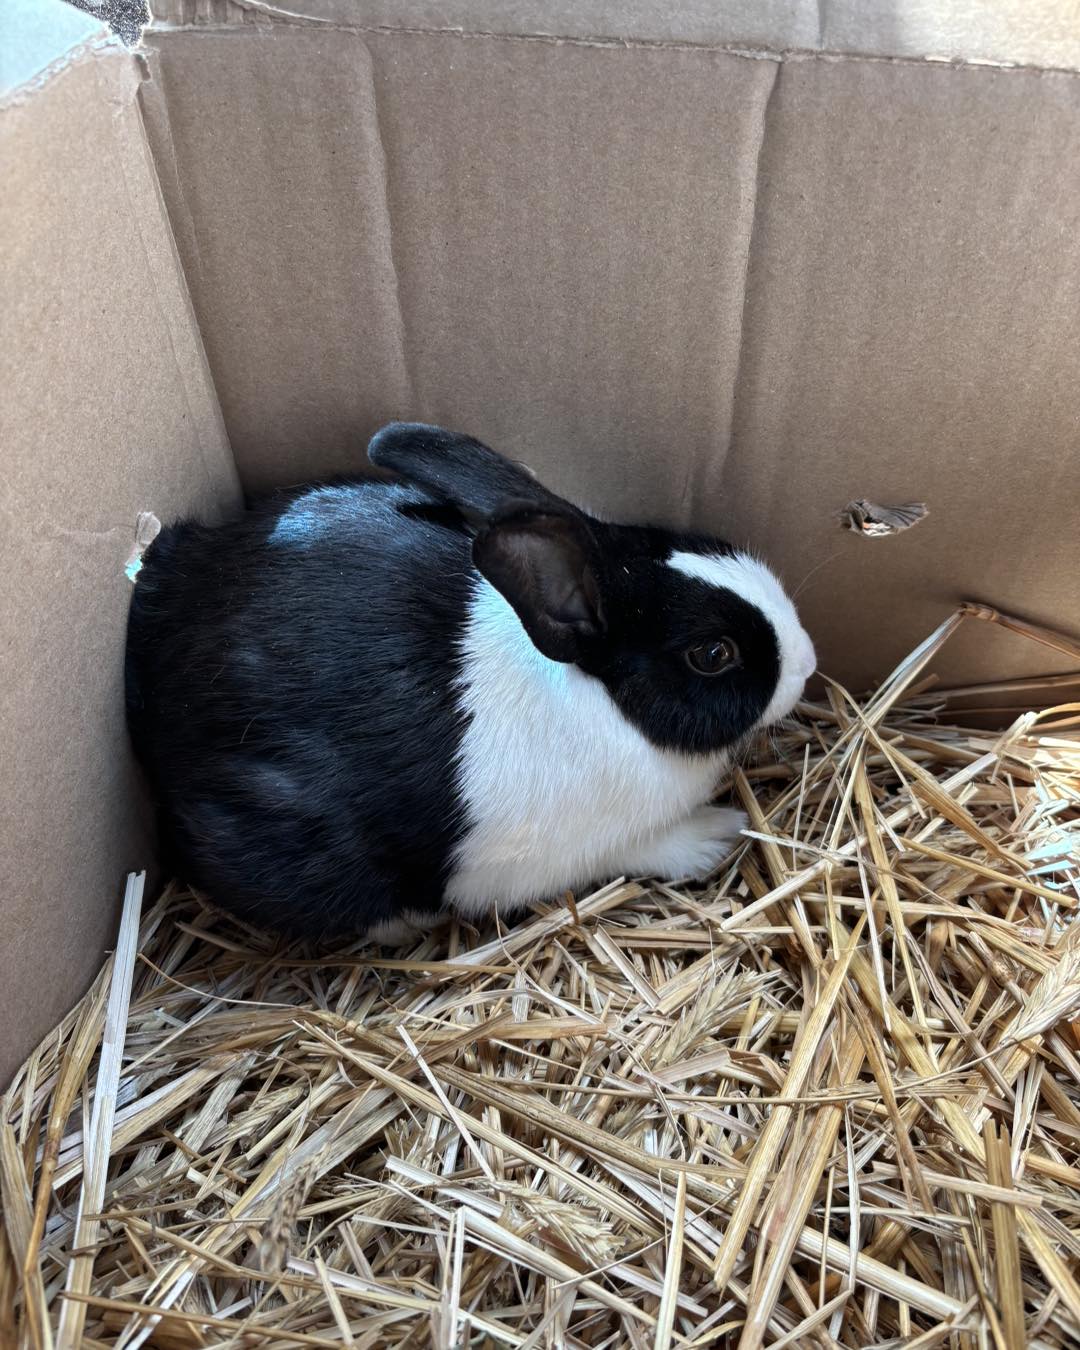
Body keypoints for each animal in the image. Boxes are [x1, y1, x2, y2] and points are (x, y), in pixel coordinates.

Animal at [125, 422, 816, 940]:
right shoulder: (560, 855)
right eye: (713, 653)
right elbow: (640, 850)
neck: (604, 701)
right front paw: (716, 835)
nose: (808, 663)